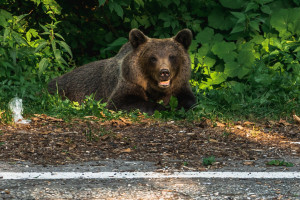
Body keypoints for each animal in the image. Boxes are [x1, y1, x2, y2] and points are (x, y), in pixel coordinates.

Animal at [47, 28, 196, 115]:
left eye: (172, 56)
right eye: (153, 58)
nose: (164, 72)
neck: (154, 88)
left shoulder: (180, 84)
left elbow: (189, 100)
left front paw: (177, 106)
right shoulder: (129, 81)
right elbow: (122, 102)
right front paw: (162, 108)